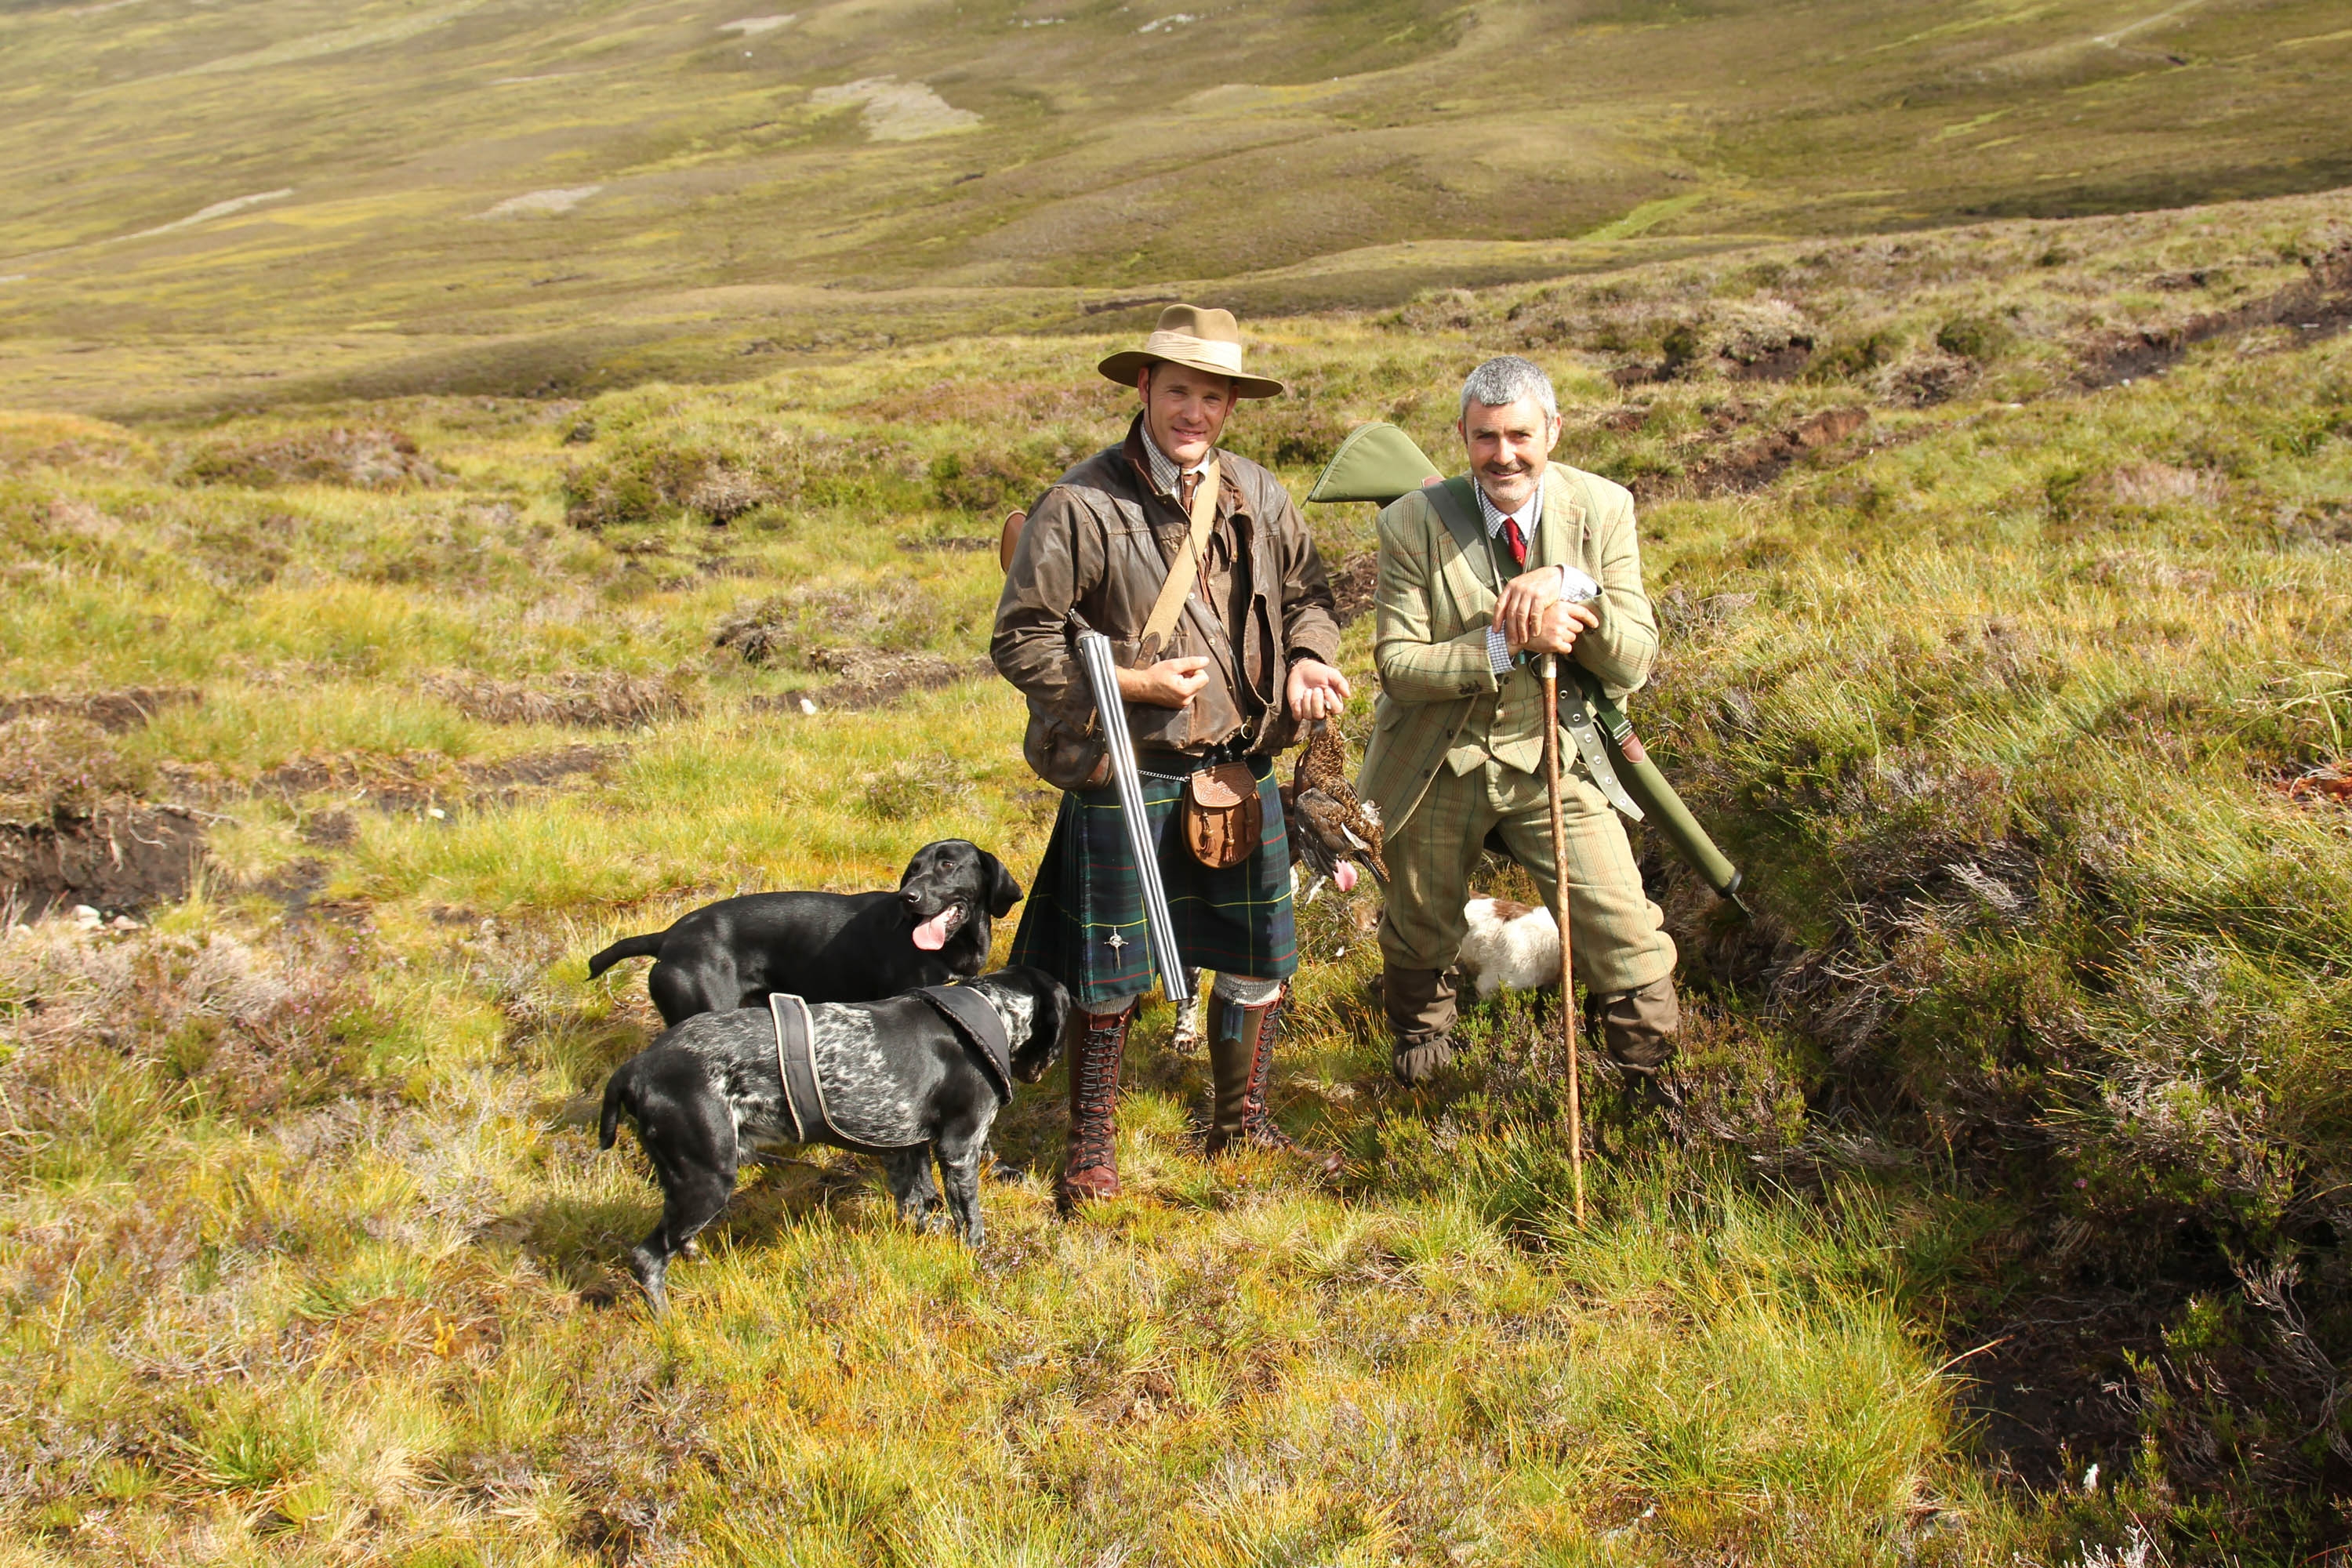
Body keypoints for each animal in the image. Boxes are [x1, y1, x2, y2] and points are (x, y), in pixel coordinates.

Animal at [593, 968, 1073, 1316]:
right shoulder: (959, 1146)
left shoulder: (900, 1145)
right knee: (647, 1257)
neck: (993, 1008)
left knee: (676, 1239)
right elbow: (969, 1220)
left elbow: (915, 1204)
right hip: (707, 1177)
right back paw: (665, 1319)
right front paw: (980, 1262)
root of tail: (635, 1068)